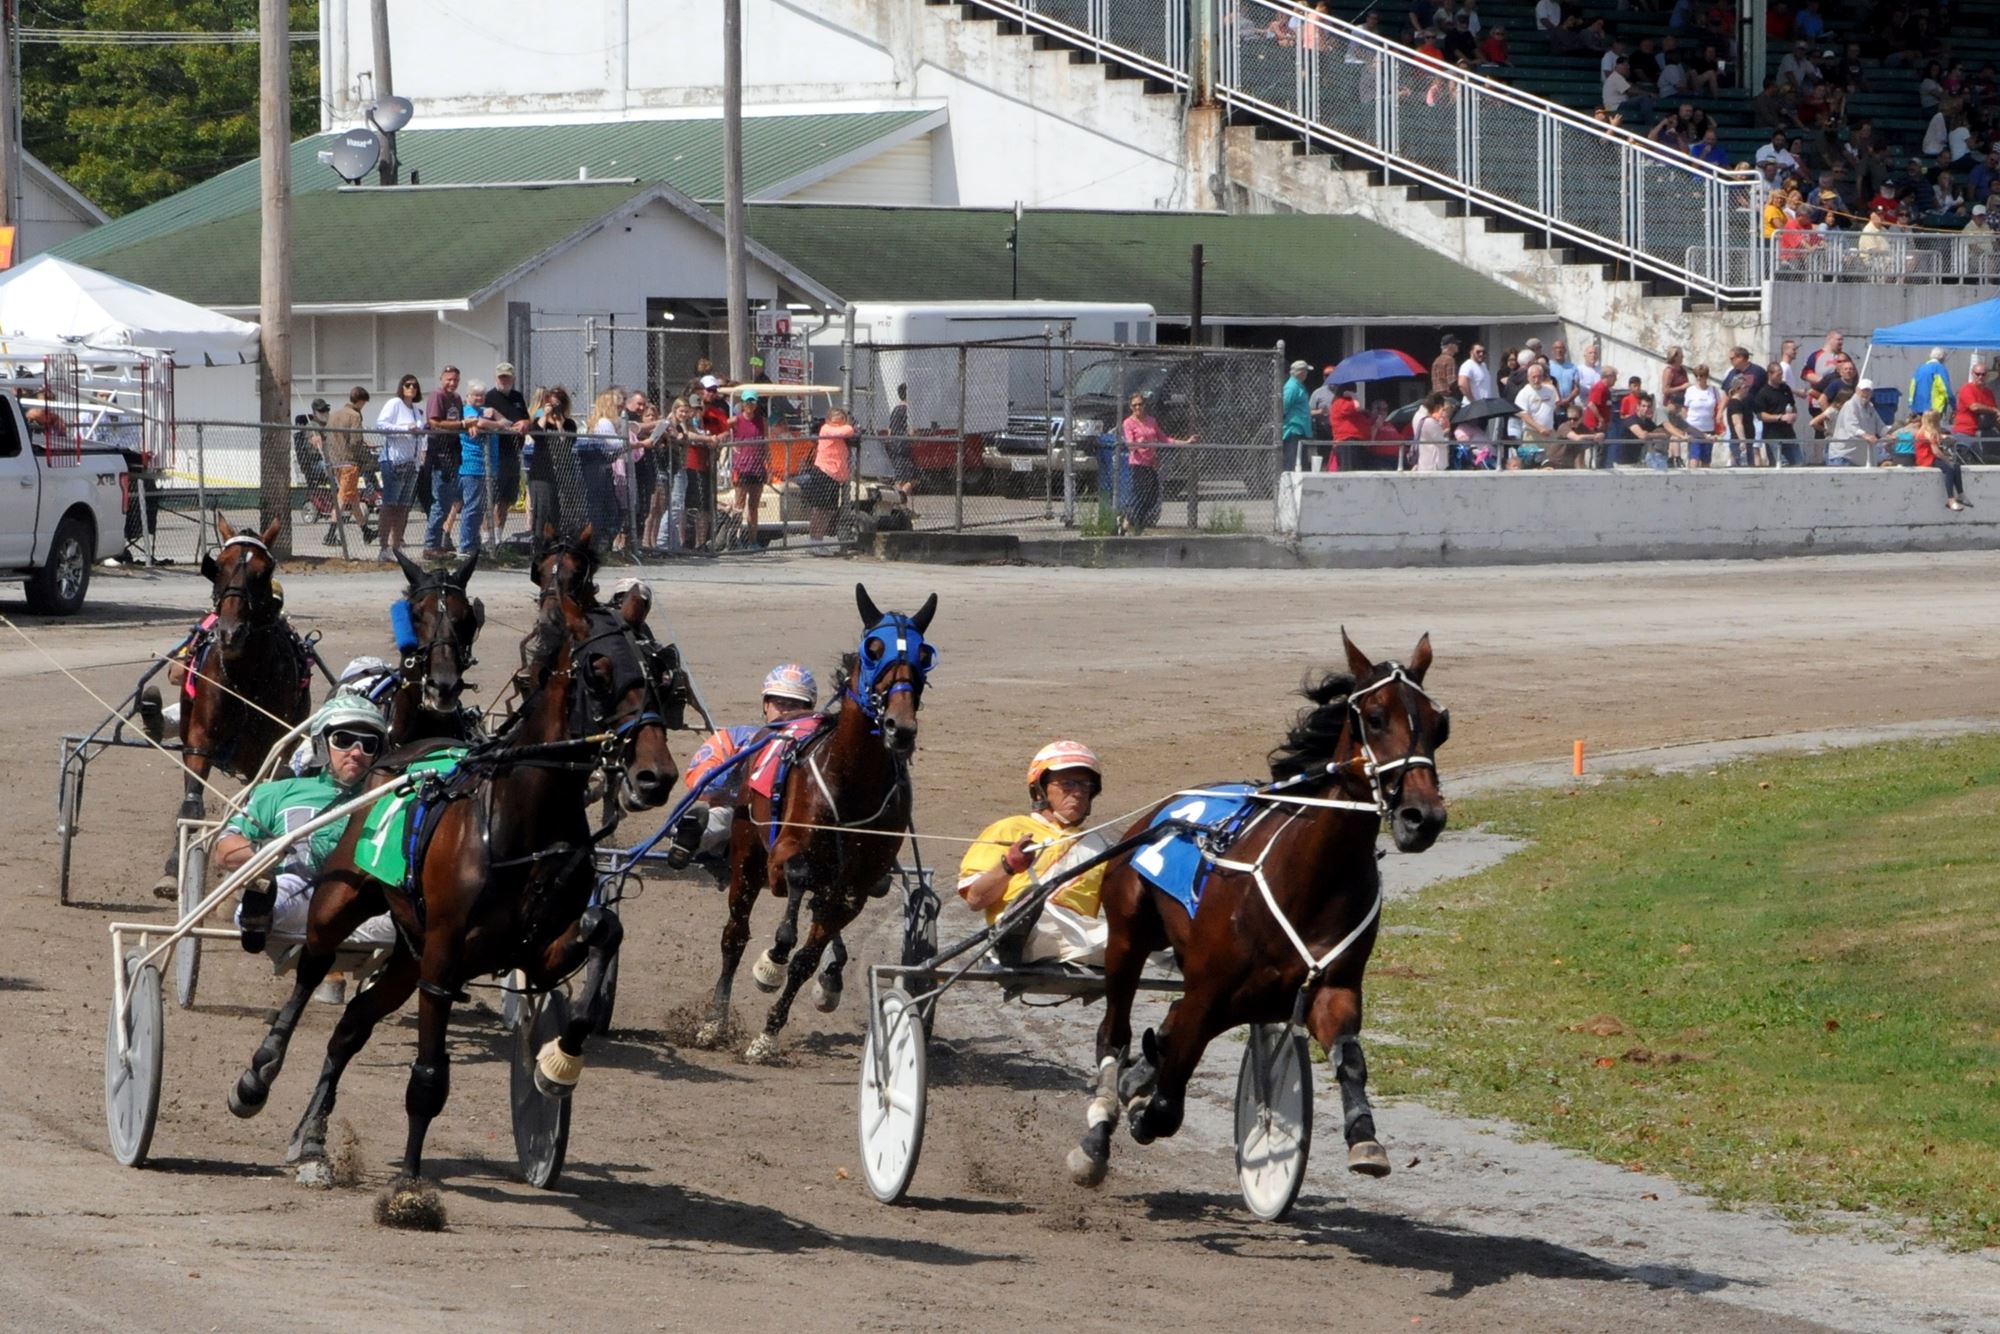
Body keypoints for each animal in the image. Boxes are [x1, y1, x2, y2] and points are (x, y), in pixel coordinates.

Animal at [154, 512, 316, 896]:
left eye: (265, 571)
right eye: (220, 565)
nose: (230, 632)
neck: (244, 677)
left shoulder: (265, 750)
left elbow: (257, 801)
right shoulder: (199, 740)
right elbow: (192, 804)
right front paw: (174, 869)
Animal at [700, 584, 940, 1064]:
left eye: (924, 655)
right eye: (874, 650)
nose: (899, 728)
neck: (853, 779)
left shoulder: (854, 888)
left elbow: (807, 957)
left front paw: (768, 1033)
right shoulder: (782, 856)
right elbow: (794, 880)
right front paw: (771, 960)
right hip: (746, 855)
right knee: (735, 934)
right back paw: (715, 1020)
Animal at [1072, 636, 1448, 1192]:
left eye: (1440, 724)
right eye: (1376, 718)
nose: (1424, 818)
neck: (1310, 880)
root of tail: (1160, 812)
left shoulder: (1332, 989)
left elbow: (1350, 1059)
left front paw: (1365, 1138)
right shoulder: (1208, 992)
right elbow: (1169, 1093)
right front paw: (1143, 1108)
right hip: (1125, 939)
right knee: (1113, 1034)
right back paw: (1098, 1135)